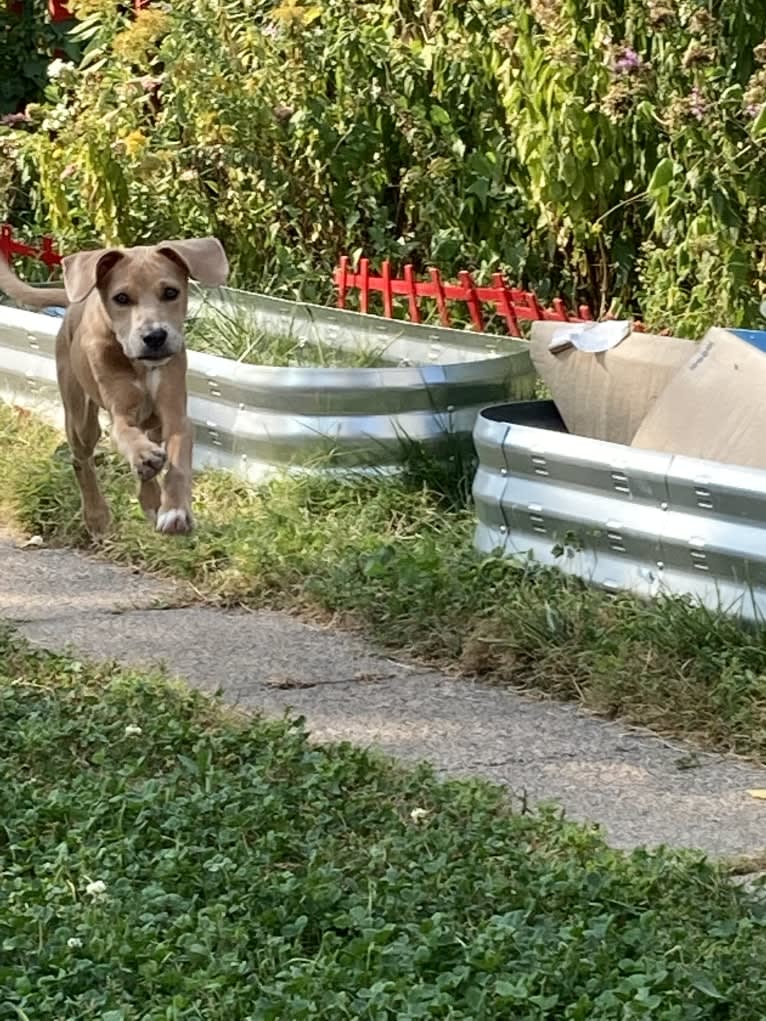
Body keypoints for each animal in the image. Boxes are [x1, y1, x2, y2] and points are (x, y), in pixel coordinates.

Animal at [0, 239, 227, 539]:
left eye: (170, 292)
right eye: (121, 298)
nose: (155, 336)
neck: (140, 365)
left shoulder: (175, 414)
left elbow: (178, 462)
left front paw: (175, 511)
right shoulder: (120, 414)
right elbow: (126, 434)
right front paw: (144, 458)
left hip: (151, 424)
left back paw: (151, 496)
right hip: (79, 417)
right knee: (82, 459)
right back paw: (97, 515)